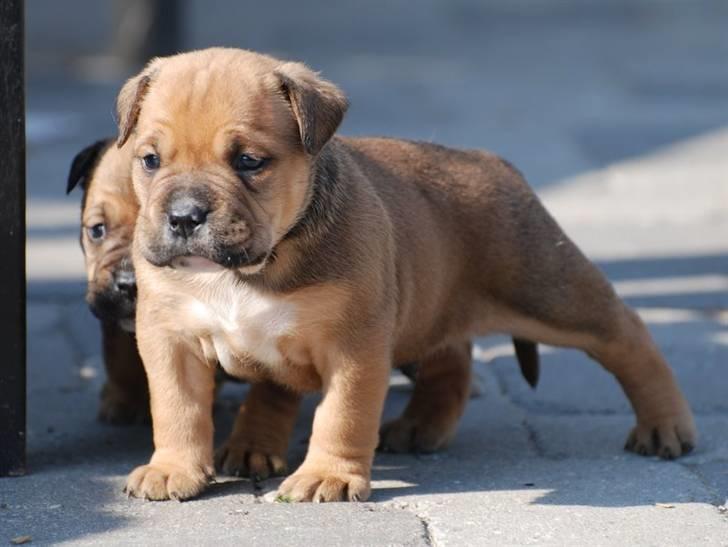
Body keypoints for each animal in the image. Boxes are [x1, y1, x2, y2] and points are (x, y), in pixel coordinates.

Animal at [116, 49, 696, 504]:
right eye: (149, 160)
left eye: (250, 161)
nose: (184, 216)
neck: (251, 268)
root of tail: (491, 161)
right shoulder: (169, 338)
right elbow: (177, 407)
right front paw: (174, 468)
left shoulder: (354, 346)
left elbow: (343, 413)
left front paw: (327, 475)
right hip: (433, 312)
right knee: (451, 362)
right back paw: (414, 427)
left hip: (550, 292)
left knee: (625, 335)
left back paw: (665, 425)